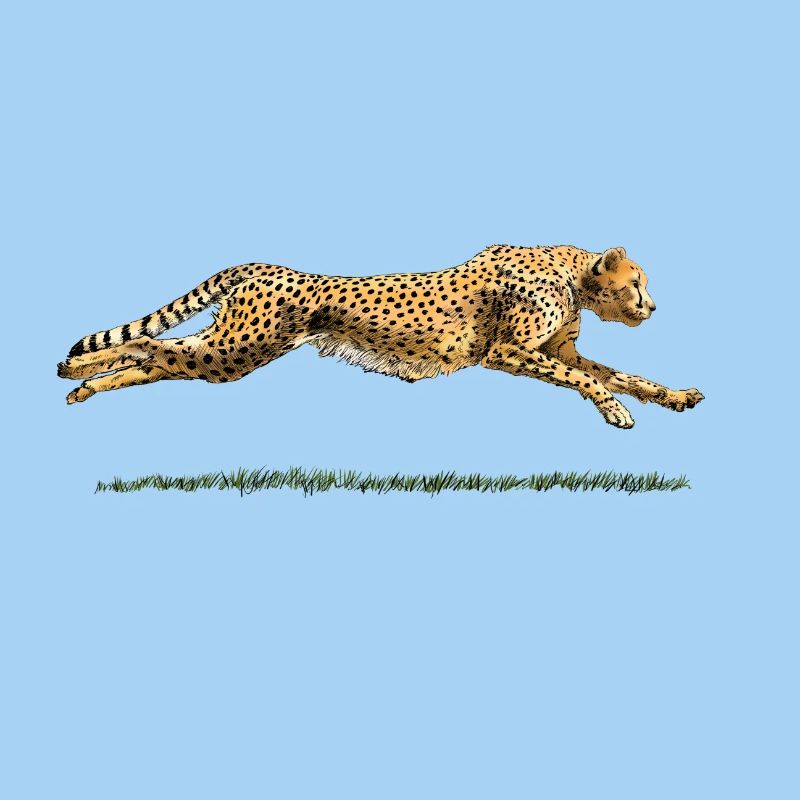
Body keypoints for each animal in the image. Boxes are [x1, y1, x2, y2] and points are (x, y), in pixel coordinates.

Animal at [57, 244, 704, 428]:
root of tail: (264, 265)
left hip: (229, 354)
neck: (573, 274)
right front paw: (616, 411)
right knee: (152, 346)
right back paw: (72, 369)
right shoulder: (506, 351)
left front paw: (673, 396)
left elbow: (621, 374)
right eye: (637, 282)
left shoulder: (555, 349)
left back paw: (80, 386)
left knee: (161, 358)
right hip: (238, 349)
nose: (653, 306)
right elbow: (580, 378)